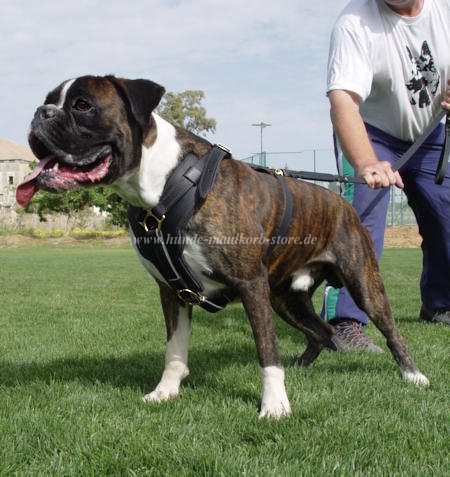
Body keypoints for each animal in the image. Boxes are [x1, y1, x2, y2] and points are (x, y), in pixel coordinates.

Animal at [16, 74, 428, 416]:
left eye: (82, 105)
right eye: (49, 100)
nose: (40, 113)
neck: (164, 183)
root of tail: (341, 200)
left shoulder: (250, 285)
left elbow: (267, 352)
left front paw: (275, 406)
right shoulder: (172, 290)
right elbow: (175, 349)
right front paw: (166, 392)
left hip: (361, 282)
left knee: (391, 331)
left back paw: (413, 376)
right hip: (286, 298)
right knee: (322, 332)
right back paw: (303, 367)